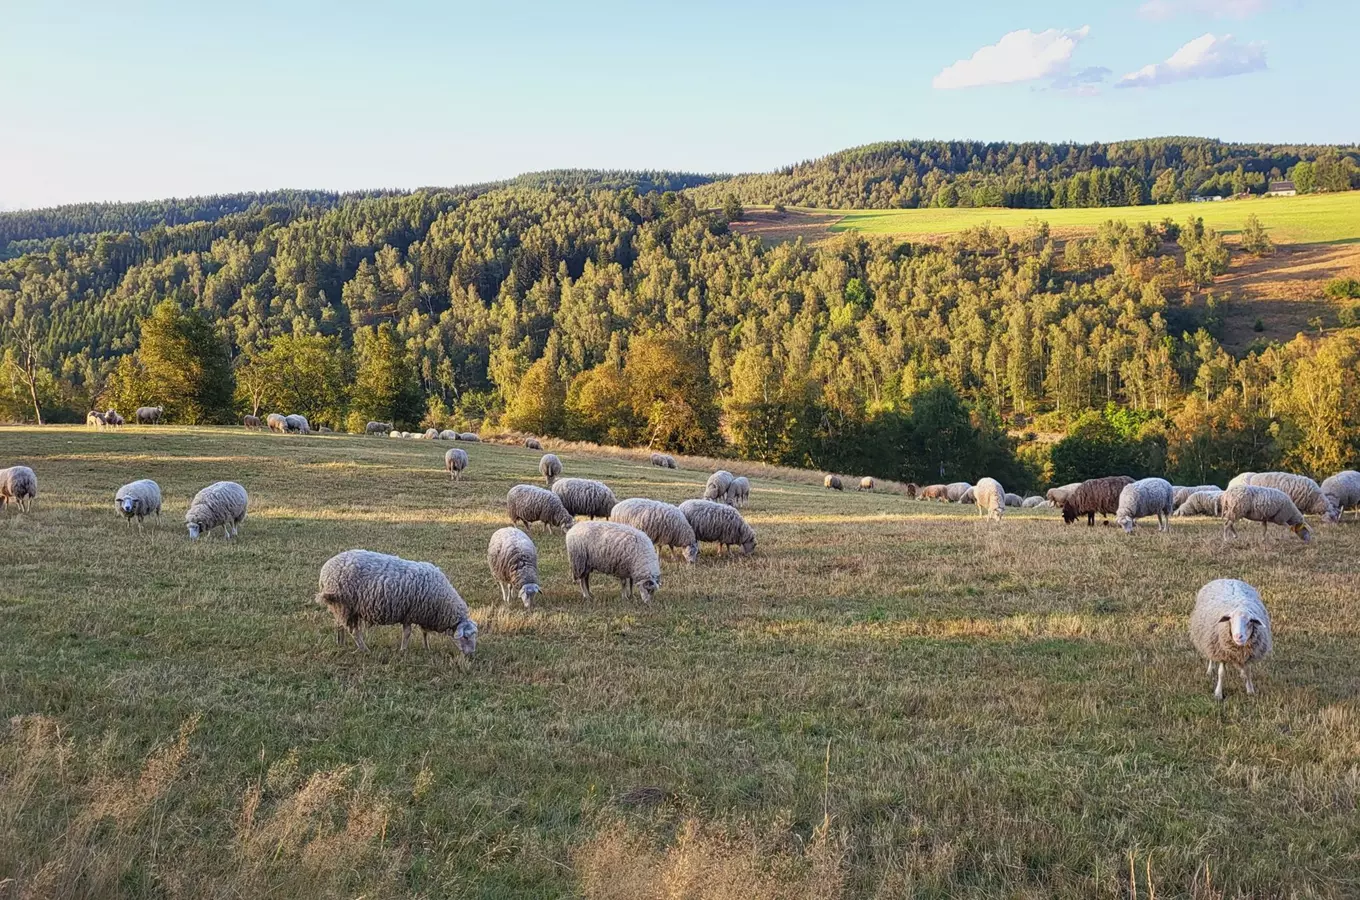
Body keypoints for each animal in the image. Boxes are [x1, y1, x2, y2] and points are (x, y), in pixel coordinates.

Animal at [314, 549, 478, 655]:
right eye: (466, 637)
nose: (471, 655)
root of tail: (326, 569)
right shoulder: (411, 613)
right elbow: (407, 633)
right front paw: (403, 651)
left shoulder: (421, 614)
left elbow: (424, 632)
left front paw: (427, 648)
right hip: (346, 604)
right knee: (354, 631)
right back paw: (365, 649)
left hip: (340, 607)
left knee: (339, 624)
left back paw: (340, 643)